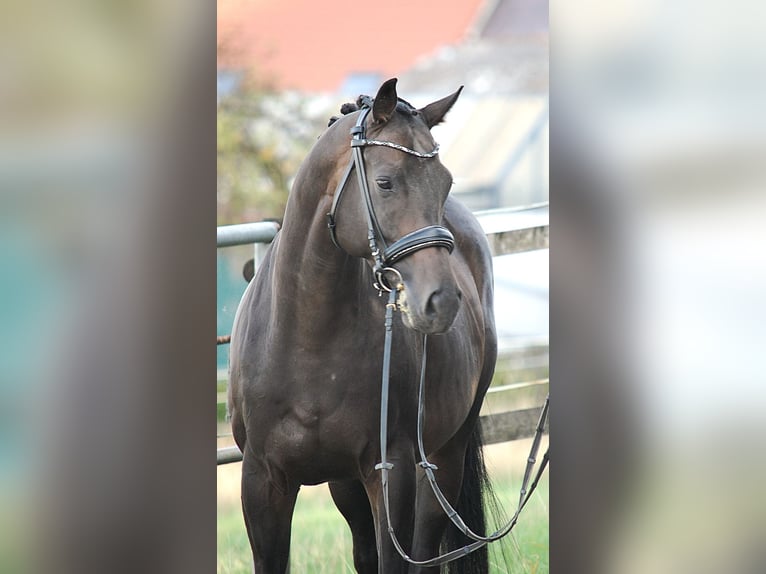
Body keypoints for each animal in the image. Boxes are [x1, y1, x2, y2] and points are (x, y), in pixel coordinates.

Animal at [228, 78, 497, 573]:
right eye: (385, 182)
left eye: (445, 182)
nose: (442, 301)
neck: (308, 342)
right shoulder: (261, 481)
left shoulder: (391, 472)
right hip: (345, 485)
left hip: (443, 460)